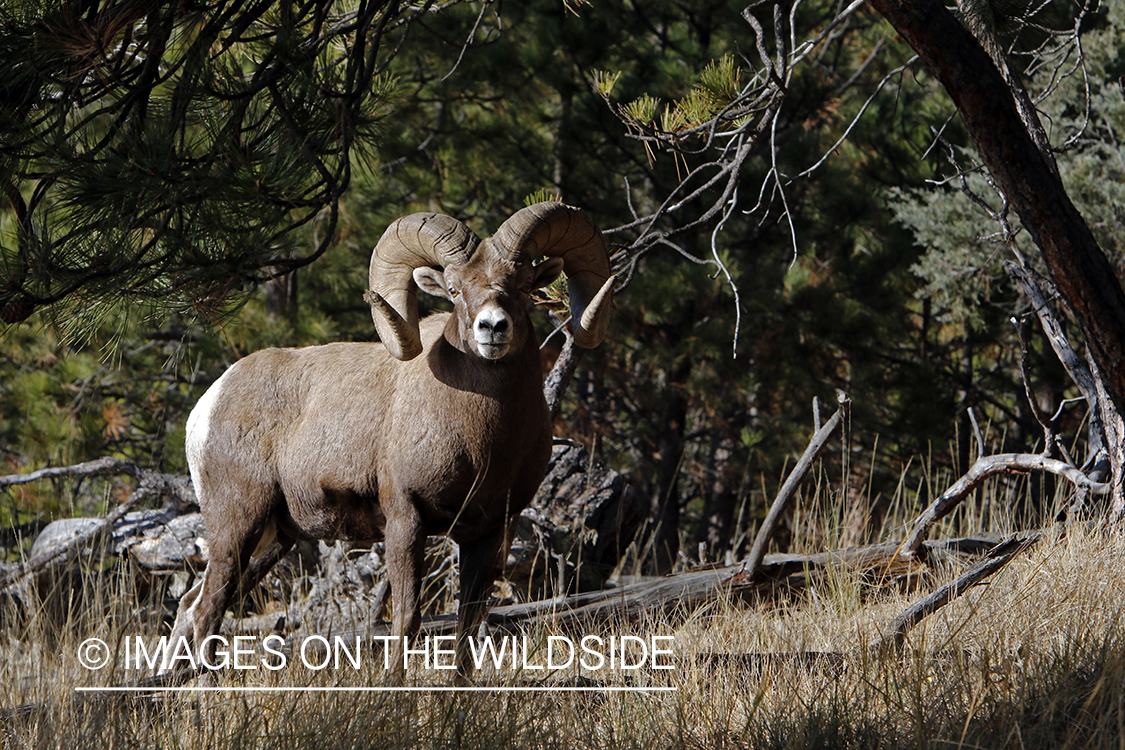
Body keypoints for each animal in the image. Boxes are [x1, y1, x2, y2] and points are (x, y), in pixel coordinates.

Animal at [162, 201, 616, 680]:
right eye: (454, 289)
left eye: (525, 286)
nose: (492, 328)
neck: (483, 443)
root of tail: (208, 404)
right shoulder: (405, 519)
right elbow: (406, 617)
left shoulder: (488, 532)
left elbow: (468, 625)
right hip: (237, 526)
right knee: (207, 610)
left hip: (273, 538)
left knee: (192, 607)